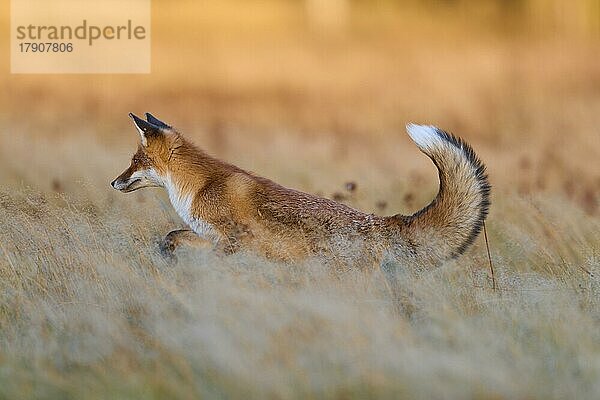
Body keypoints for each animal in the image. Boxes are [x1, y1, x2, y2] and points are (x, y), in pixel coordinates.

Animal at [111, 113, 488, 272]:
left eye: (134, 162)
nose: (113, 183)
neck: (198, 186)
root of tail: (381, 222)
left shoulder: (234, 241)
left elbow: (181, 241)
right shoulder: (210, 236)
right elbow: (173, 236)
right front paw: (167, 256)